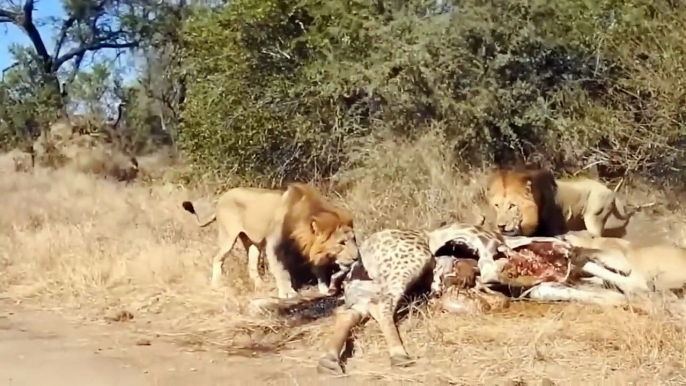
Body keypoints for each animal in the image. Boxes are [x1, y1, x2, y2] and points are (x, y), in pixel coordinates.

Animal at [183, 182, 366, 298]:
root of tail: (221, 199)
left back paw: (260, 286)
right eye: (342, 242)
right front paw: (288, 293)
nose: (356, 257)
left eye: (353, 239)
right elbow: (282, 270)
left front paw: (324, 288)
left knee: (251, 265)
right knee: (217, 258)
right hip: (228, 237)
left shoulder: (310, 247)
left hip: (254, 243)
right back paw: (216, 285)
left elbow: (318, 268)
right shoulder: (274, 245)